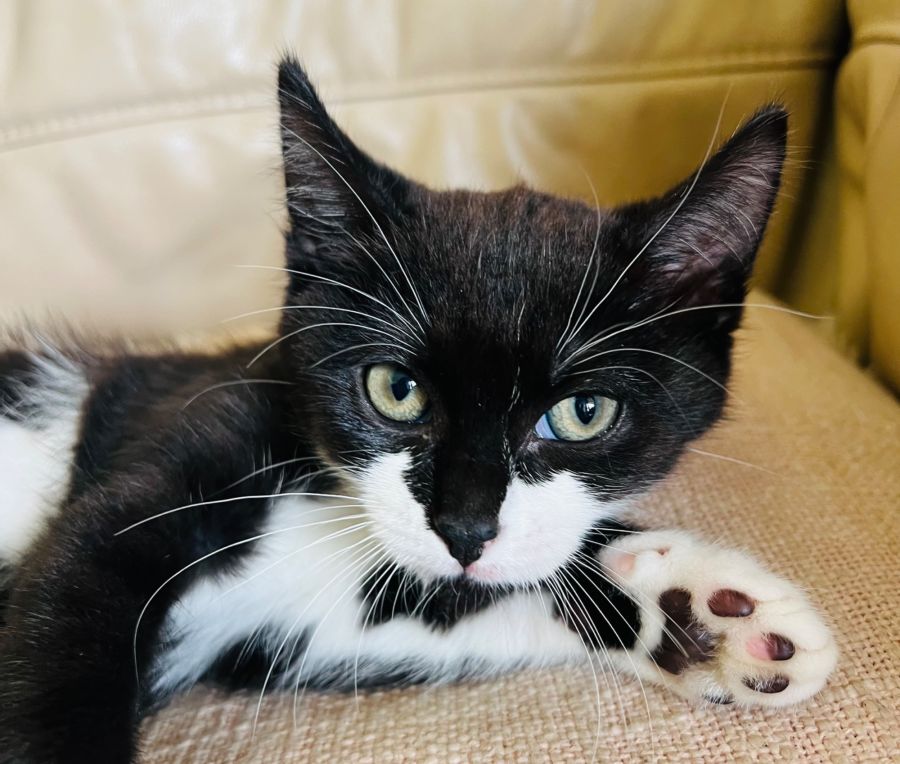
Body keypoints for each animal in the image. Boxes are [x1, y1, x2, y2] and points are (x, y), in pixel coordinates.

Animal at [0, 57, 837, 763]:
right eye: (395, 390)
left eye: (584, 412)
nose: (463, 528)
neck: (324, 486)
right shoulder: (180, 431)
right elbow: (67, 599)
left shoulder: (297, 626)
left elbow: (448, 598)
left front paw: (704, 611)